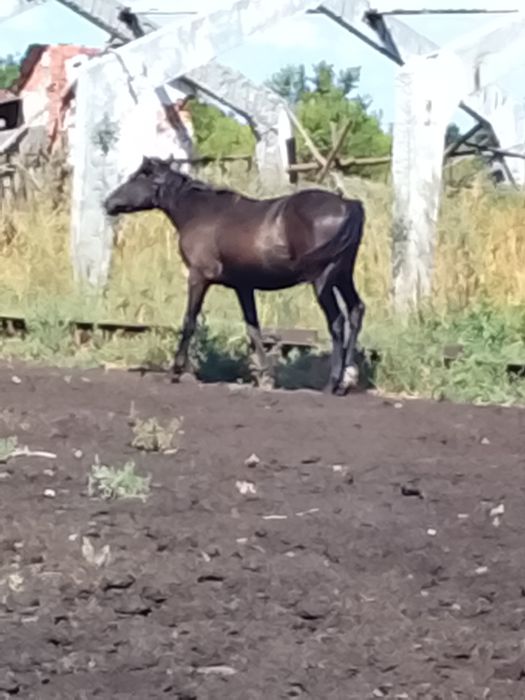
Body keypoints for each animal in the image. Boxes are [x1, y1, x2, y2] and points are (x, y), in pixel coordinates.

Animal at [103, 156, 366, 395]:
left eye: (138, 177)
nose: (108, 202)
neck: (200, 212)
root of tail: (348, 204)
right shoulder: (243, 286)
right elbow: (253, 329)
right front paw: (265, 377)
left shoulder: (198, 277)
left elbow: (189, 321)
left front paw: (176, 371)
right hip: (343, 276)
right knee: (355, 310)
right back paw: (348, 378)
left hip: (323, 280)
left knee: (337, 321)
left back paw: (333, 383)